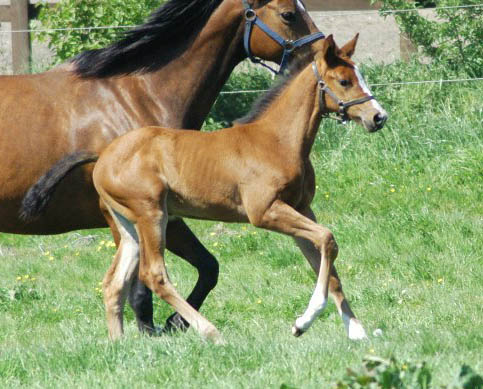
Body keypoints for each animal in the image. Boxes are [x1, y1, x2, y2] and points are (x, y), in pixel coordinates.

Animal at [0, 0, 326, 334]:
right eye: (288, 14)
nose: (324, 51)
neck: (136, 97)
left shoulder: (167, 216)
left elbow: (208, 267)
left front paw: (173, 324)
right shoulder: (140, 216)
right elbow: (144, 290)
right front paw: (162, 328)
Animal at [22, 34, 390, 342]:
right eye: (344, 81)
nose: (378, 117)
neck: (277, 141)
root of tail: (104, 154)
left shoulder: (301, 208)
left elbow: (326, 261)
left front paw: (356, 331)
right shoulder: (265, 212)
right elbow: (328, 239)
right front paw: (302, 322)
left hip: (126, 224)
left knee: (114, 282)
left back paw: (118, 345)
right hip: (152, 214)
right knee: (154, 274)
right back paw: (209, 331)